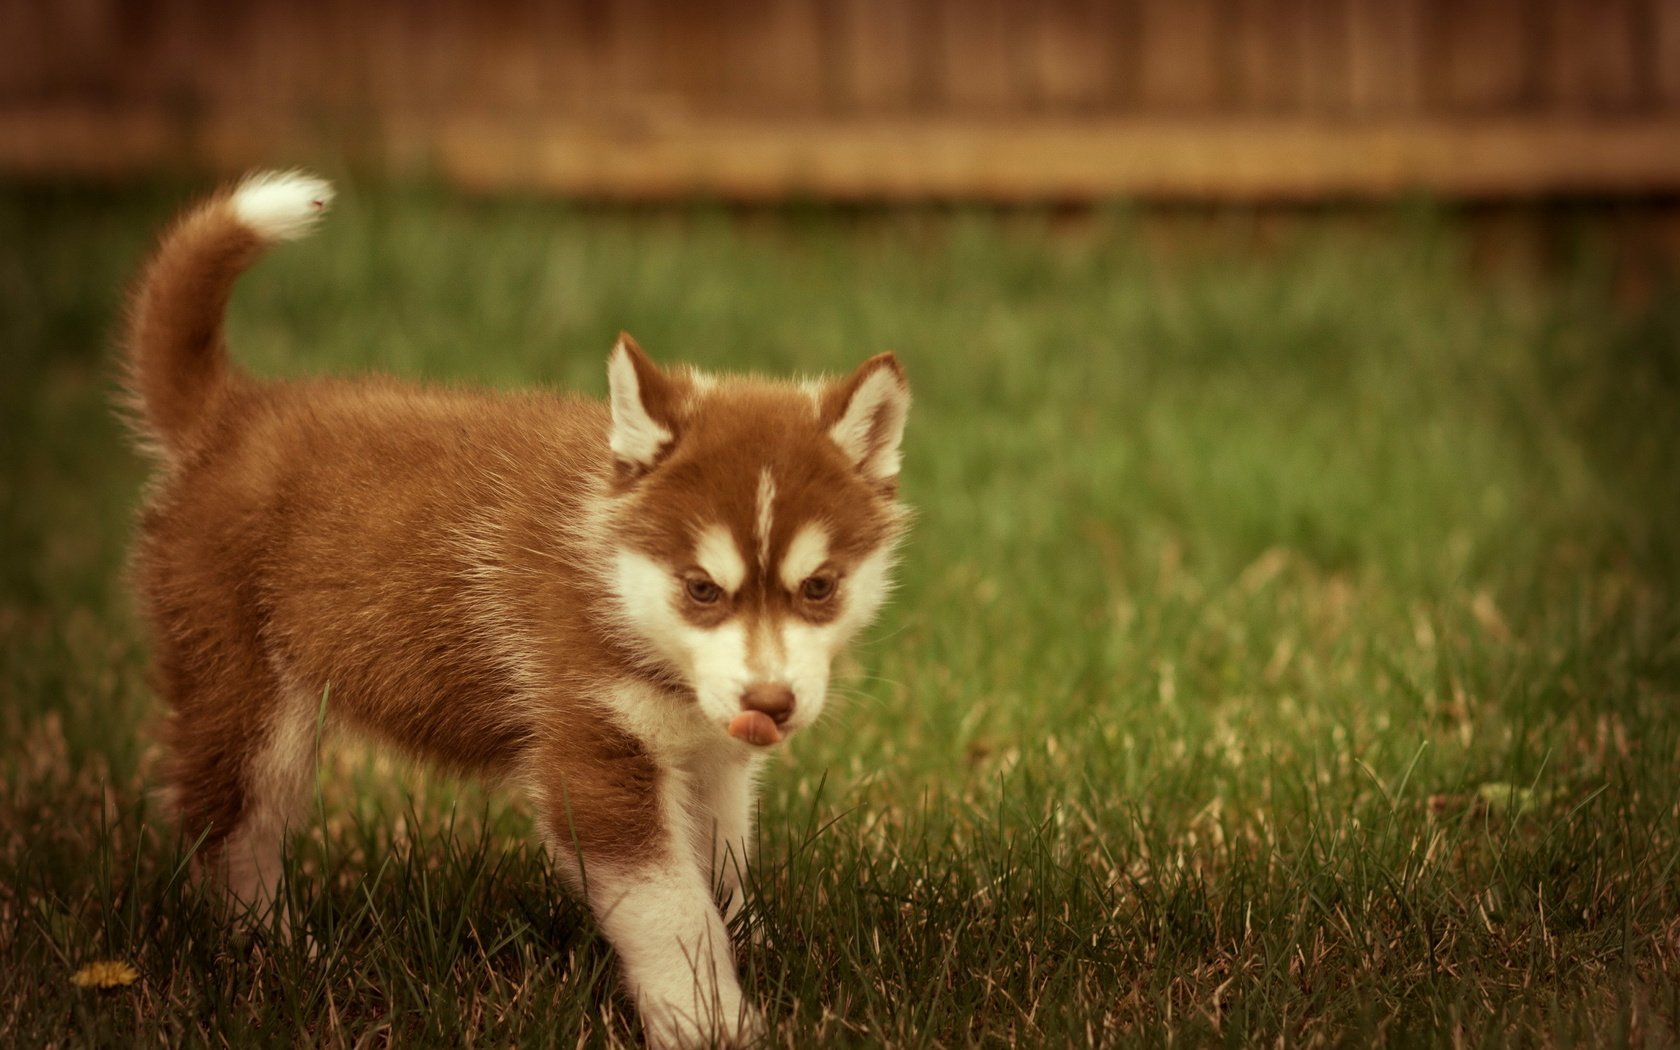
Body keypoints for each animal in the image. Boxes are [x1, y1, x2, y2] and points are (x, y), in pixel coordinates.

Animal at [124, 169, 913, 1041]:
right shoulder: (593, 751)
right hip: (249, 696)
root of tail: (232, 415)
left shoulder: (708, 758)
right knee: (232, 832)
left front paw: (753, 951)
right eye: (701, 589)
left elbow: (721, 868)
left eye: (820, 587)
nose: (769, 704)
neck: (613, 582)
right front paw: (709, 1019)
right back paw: (278, 957)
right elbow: (672, 907)